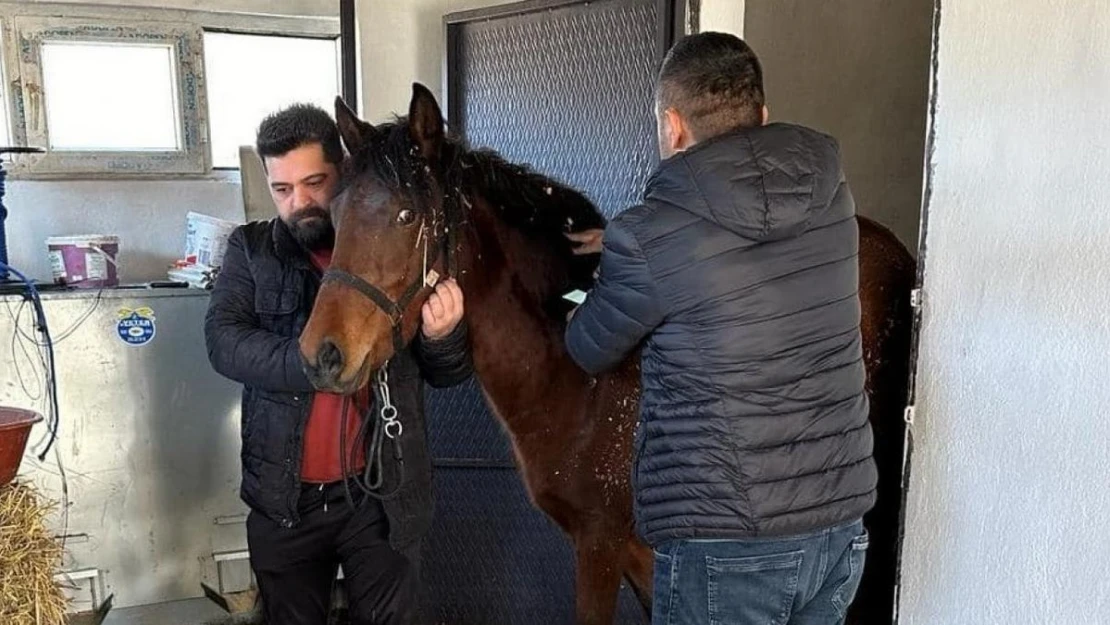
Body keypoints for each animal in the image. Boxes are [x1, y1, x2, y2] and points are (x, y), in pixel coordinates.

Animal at [299, 84, 914, 625]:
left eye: (407, 216)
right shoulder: (641, 559)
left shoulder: (599, 546)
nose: (322, 354)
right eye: (336, 211)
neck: (580, 382)